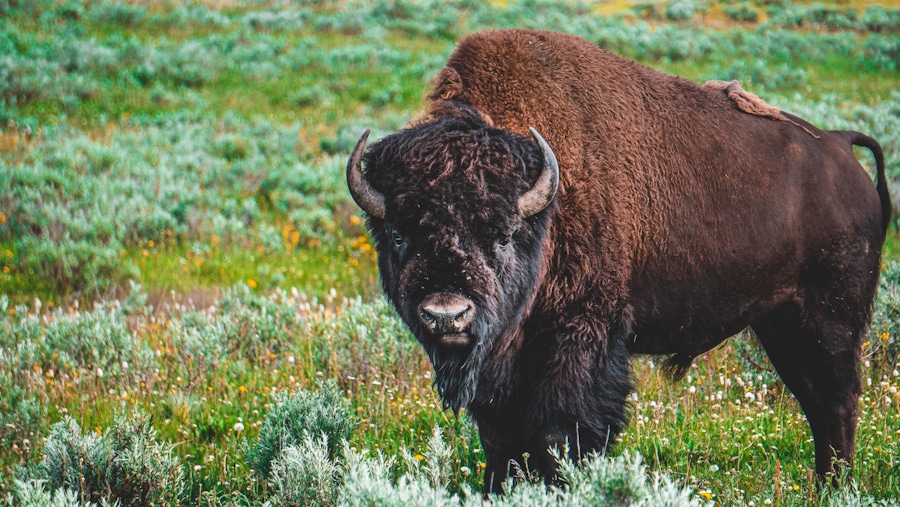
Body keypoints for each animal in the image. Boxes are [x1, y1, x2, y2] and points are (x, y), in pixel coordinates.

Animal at [346, 29, 890, 492]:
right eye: (399, 235)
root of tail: (840, 146)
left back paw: (836, 486)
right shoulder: (502, 365)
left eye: (501, 236)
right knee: (817, 400)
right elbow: (501, 439)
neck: (546, 208)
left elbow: (559, 434)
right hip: (780, 323)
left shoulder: (582, 335)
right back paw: (824, 485)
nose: (447, 315)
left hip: (829, 319)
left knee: (838, 399)